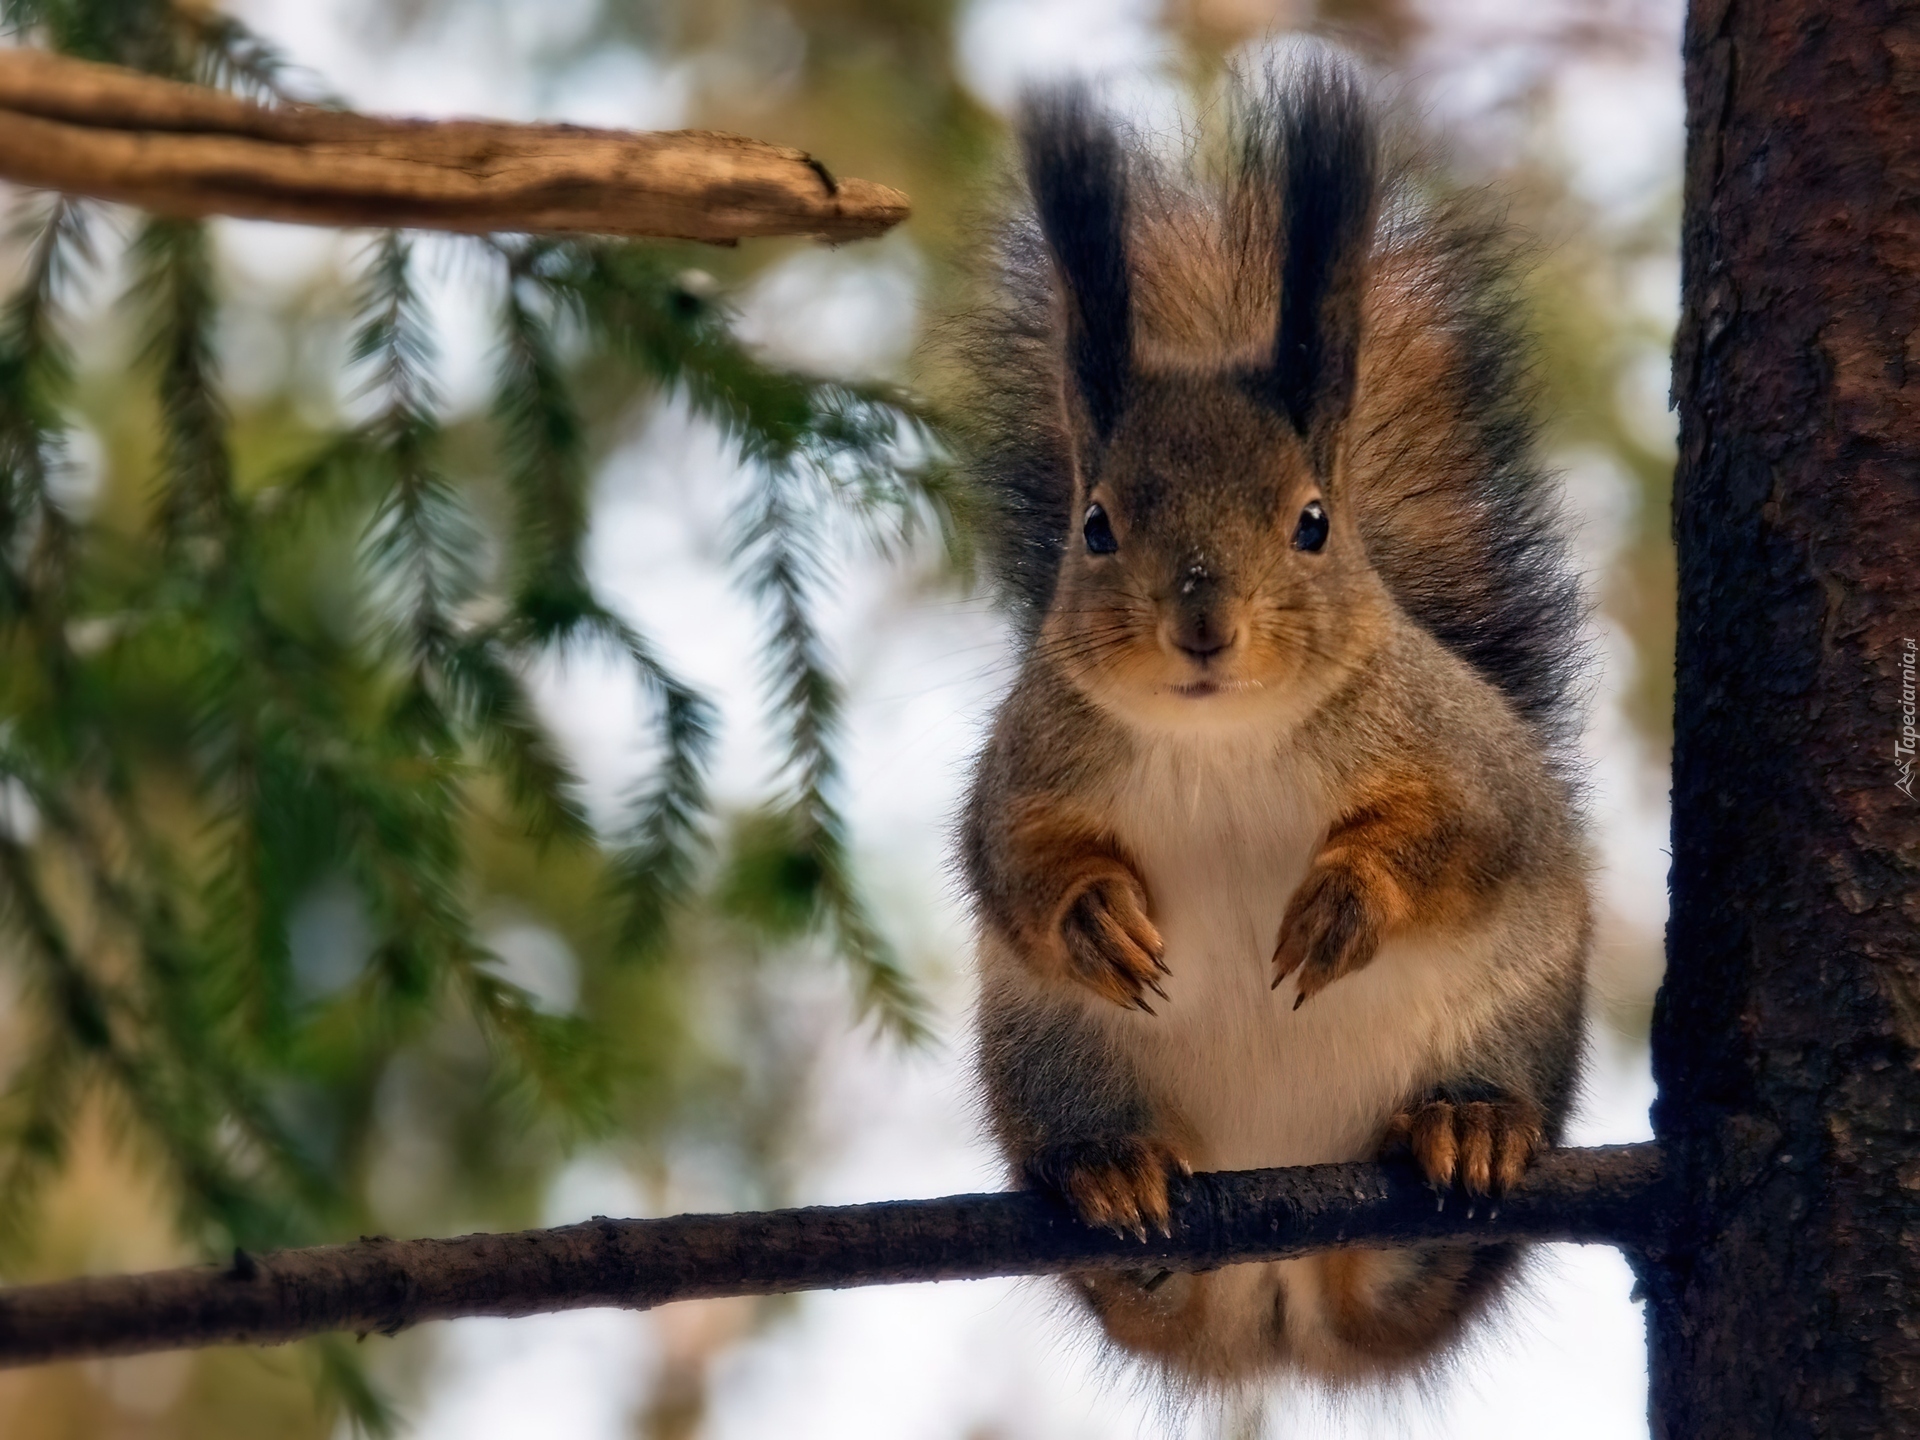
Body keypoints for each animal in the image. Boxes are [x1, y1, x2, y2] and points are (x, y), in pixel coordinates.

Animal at [952, 56, 1597, 1390]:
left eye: (1312, 522)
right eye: (1096, 525)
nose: (1204, 623)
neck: (1224, 744)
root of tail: (1282, 1290)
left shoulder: (1461, 752)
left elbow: (1463, 837)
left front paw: (1347, 901)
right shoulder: (1027, 764)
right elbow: (1009, 865)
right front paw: (1094, 916)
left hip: (1516, 1017)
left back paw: (1466, 1129)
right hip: (1048, 1058)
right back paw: (1116, 1177)